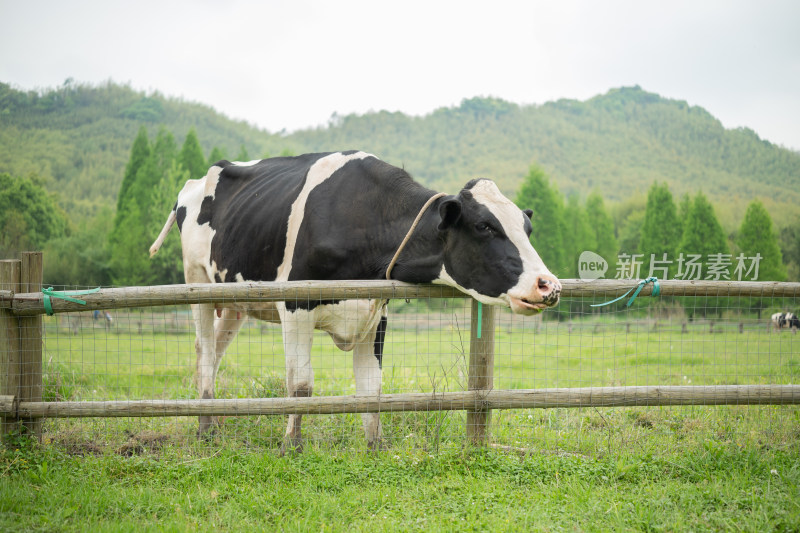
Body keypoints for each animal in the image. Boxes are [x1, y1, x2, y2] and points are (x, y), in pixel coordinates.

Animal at [150, 151, 564, 454]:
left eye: (527, 229)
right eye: (484, 226)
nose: (548, 285)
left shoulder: (375, 312)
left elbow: (370, 387)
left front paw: (375, 446)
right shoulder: (295, 306)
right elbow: (301, 385)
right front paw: (291, 446)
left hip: (235, 298)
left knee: (215, 351)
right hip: (198, 284)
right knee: (205, 353)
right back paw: (206, 431)